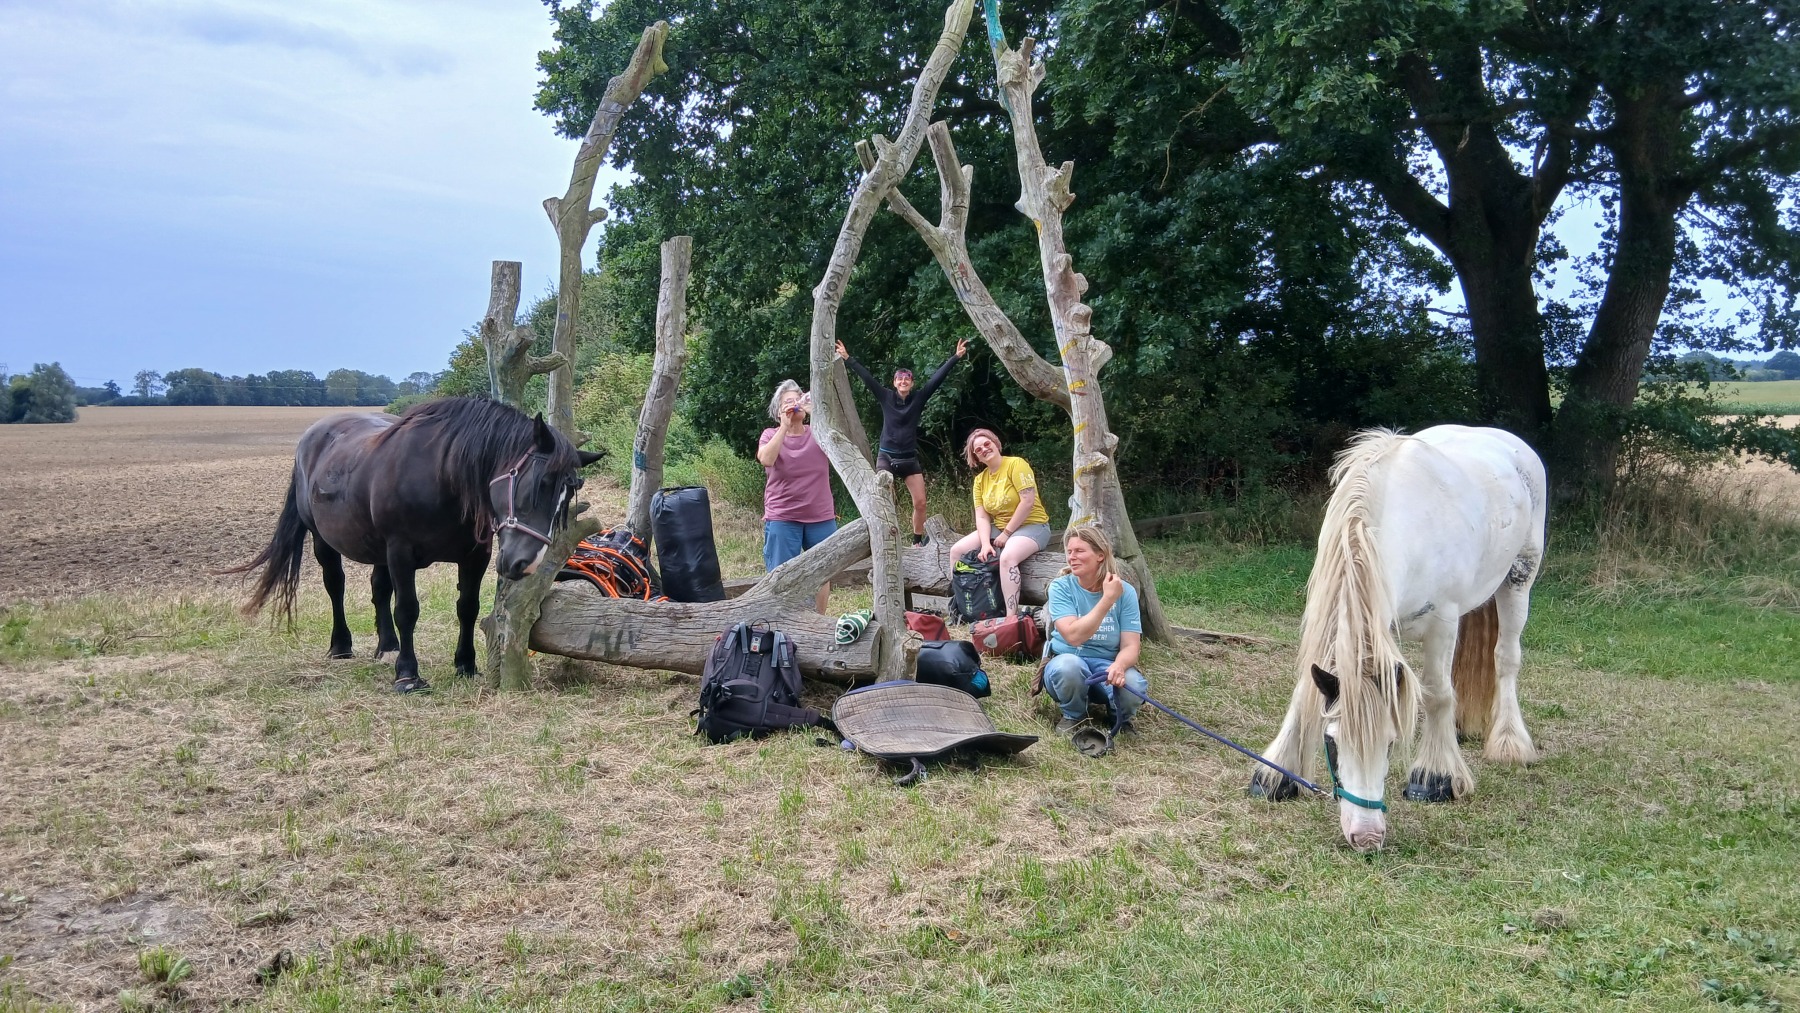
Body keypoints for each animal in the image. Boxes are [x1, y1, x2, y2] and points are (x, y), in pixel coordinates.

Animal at [229, 397, 603, 692]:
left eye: (567, 496)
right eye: (540, 483)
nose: (525, 563)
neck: (443, 478)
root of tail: (312, 436)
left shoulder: (475, 556)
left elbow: (467, 608)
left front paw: (466, 664)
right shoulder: (401, 552)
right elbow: (407, 609)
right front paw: (408, 675)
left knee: (379, 588)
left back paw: (387, 646)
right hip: (323, 539)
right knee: (335, 584)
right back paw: (341, 646)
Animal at [1248, 425, 1546, 851]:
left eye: (1390, 743)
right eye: (1331, 742)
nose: (1367, 836)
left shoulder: (1442, 621)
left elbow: (1438, 694)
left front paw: (1434, 778)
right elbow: (1304, 690)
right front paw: (1277, 774)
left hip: (1519, 580)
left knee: (1505, 659)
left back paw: (1509, 742)